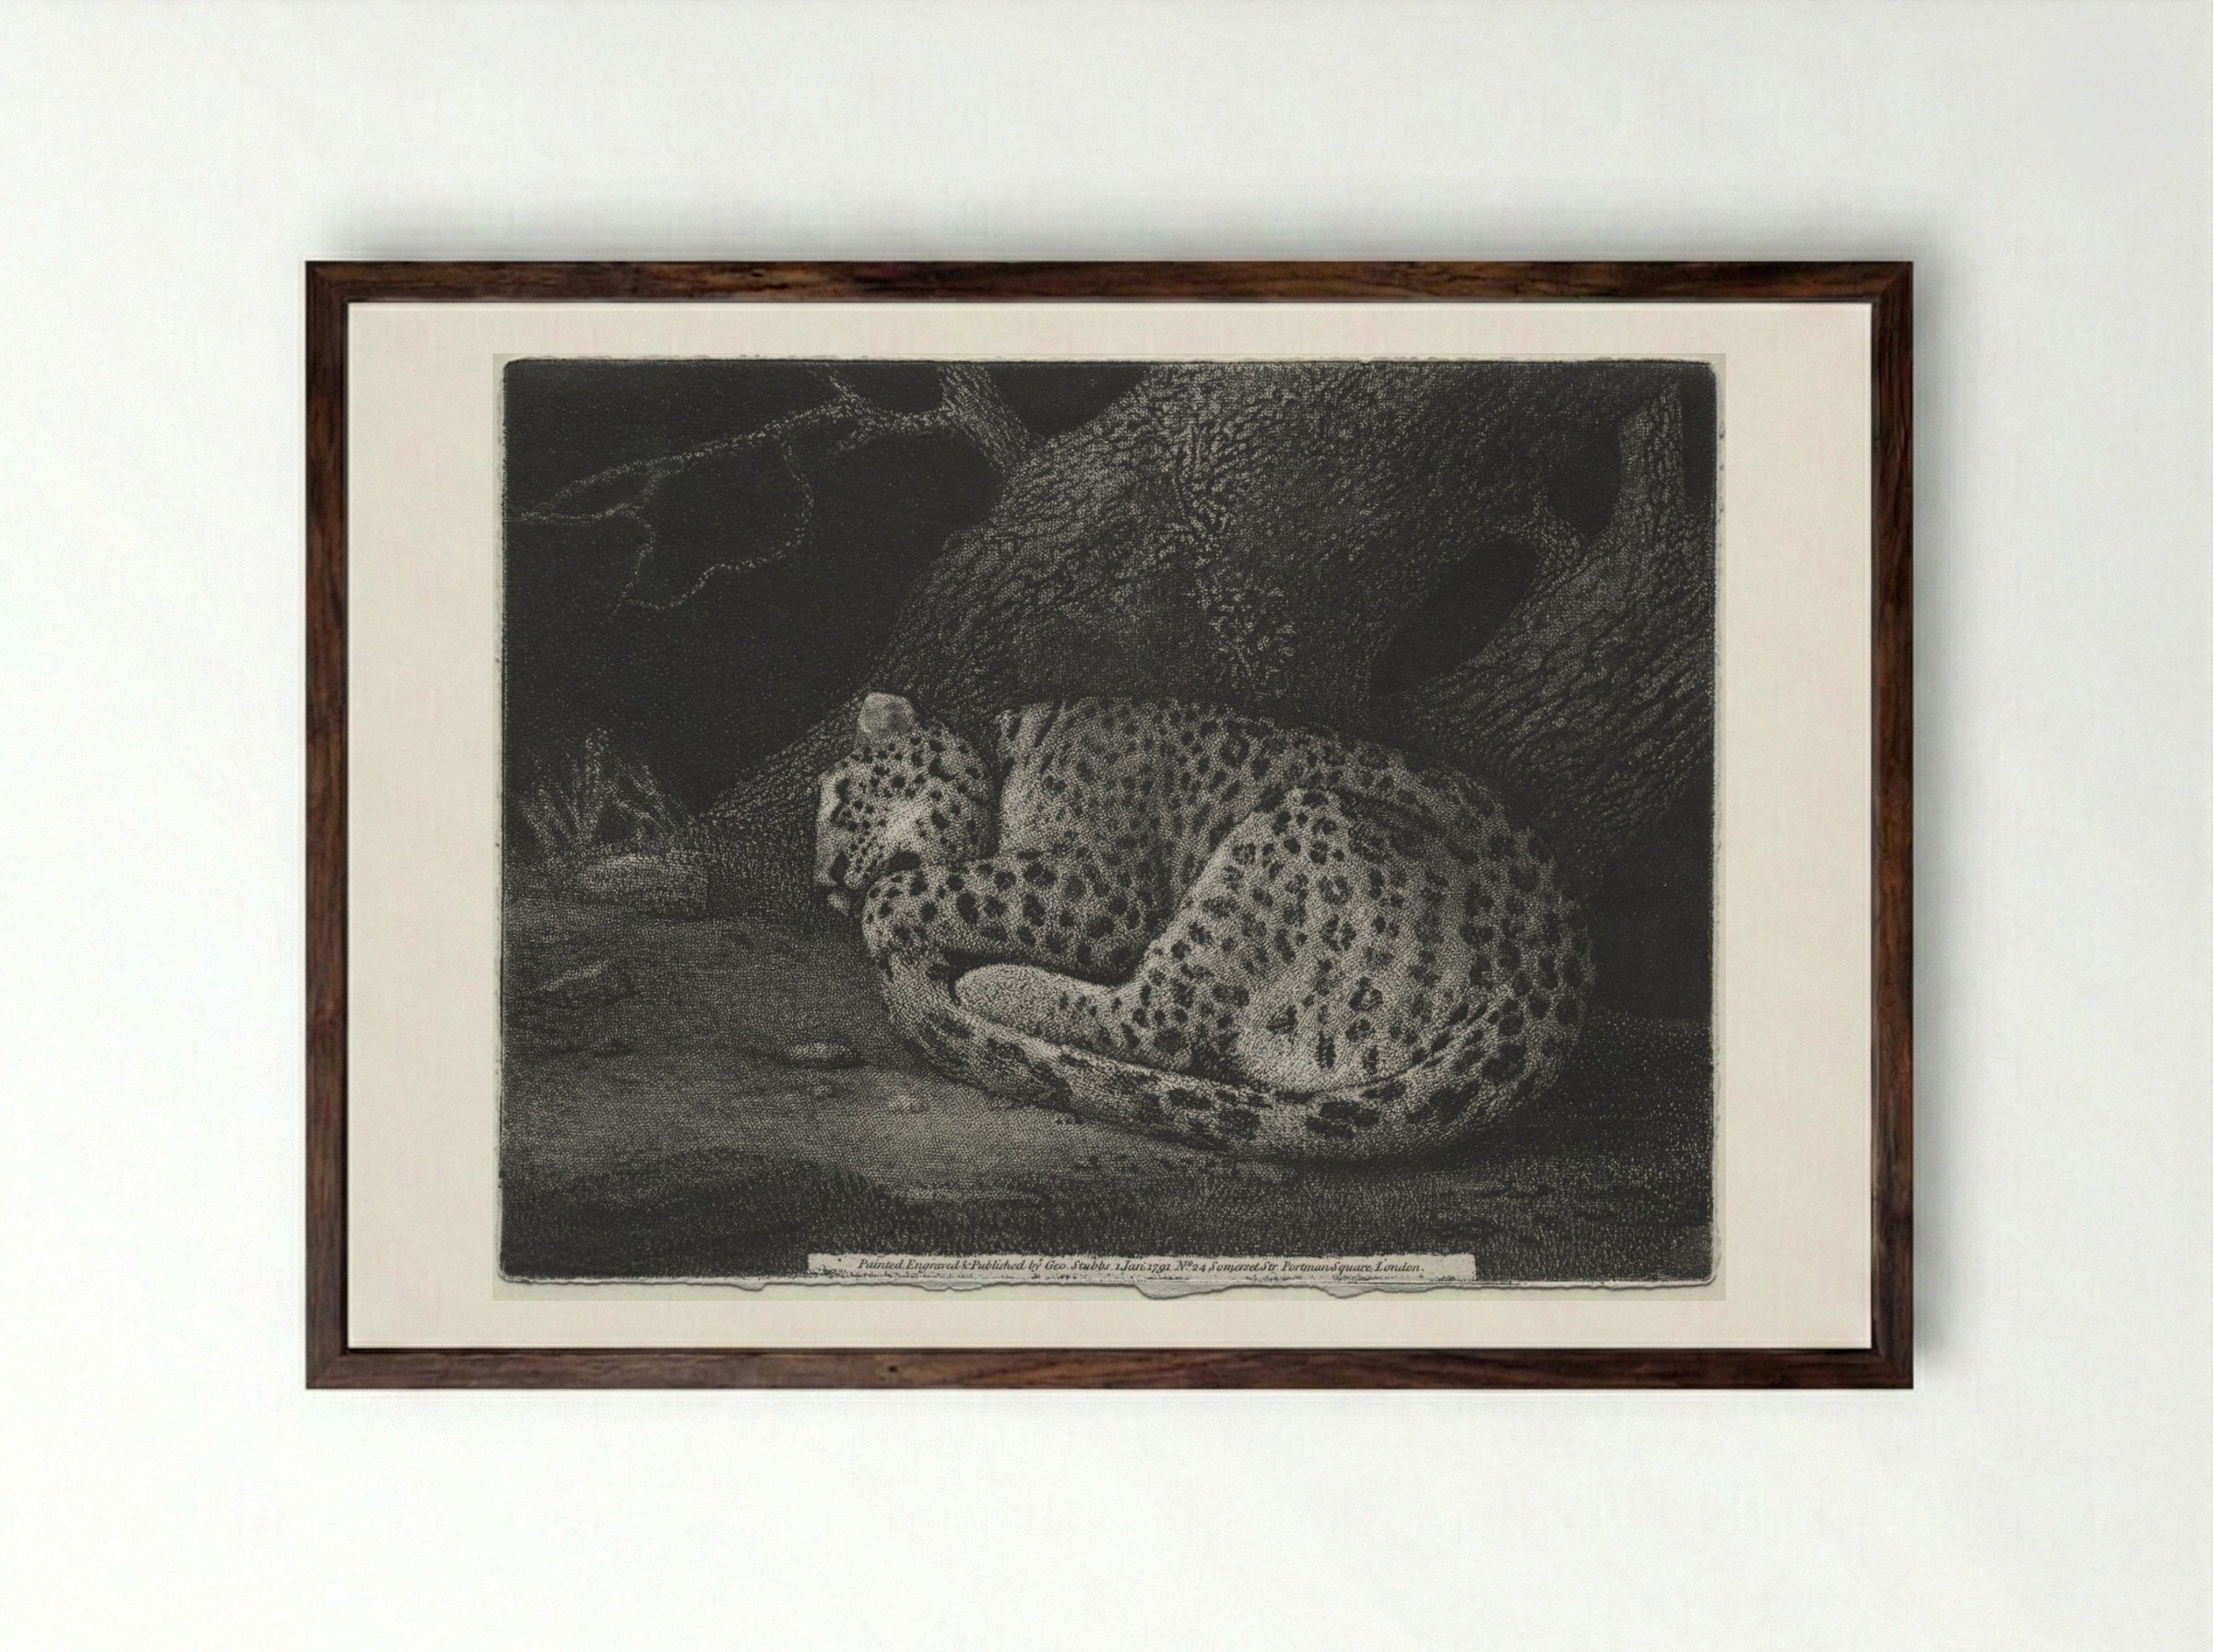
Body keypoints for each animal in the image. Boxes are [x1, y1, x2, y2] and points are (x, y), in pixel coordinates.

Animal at [813, 692, 1590, 1162]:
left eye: (842, 798)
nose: (824, 887)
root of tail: (1550, 988)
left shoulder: (1098, 889)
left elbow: (918, 885)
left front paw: (888, 919)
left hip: (1292, 831)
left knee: (1159, 1022)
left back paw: (988, 984)